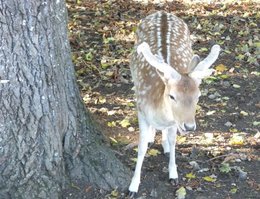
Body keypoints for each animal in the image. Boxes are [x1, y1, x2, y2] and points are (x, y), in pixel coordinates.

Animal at [128, 11, 219, 197]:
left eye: (198, 96)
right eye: (172, 96)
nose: (190, 126)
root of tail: (161, 12)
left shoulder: (173, 122)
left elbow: (173, 141)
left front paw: (173, 175)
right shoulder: (141, 110)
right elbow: (141, 147)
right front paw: (133, 187)